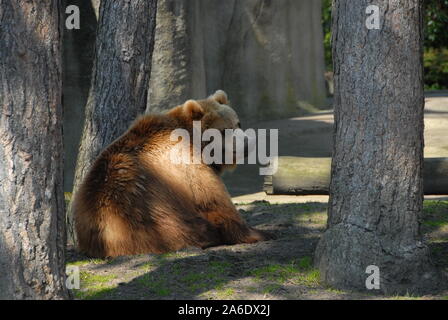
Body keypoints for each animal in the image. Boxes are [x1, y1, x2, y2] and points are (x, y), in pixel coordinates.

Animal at [72, 89, 272, 258]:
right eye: (224, 130)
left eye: (238, 123)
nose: (248, 143)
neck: (196, 141)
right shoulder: (188, 164)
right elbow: (214, 201)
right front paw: (261, 233)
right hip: (159, 220)